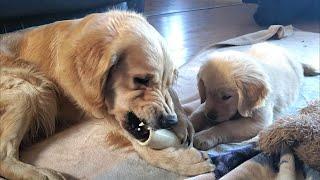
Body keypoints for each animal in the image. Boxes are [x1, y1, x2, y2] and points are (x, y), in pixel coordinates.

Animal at [0, 10, 215, 179]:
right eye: (141, 80)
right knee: (3, 155)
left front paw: (182, 121)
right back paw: (43, 175)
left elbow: (172, 97)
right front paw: (179, 160)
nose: (170, 120)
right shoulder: (97, 108)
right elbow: (137, 142)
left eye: (167, 82)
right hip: (29, 89)